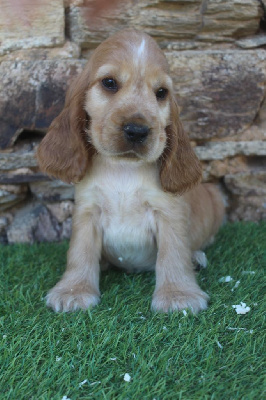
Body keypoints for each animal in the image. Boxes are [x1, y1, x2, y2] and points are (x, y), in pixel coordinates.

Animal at [37, 29, 224, 314]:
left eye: (161, 92)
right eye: (109, 83)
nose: (137, 131)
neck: (123, 169)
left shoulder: (169, 212)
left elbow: (173, 253)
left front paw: (177, 294)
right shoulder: (87, 210)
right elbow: (80, 252)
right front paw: (74, 290)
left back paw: (196, 258)